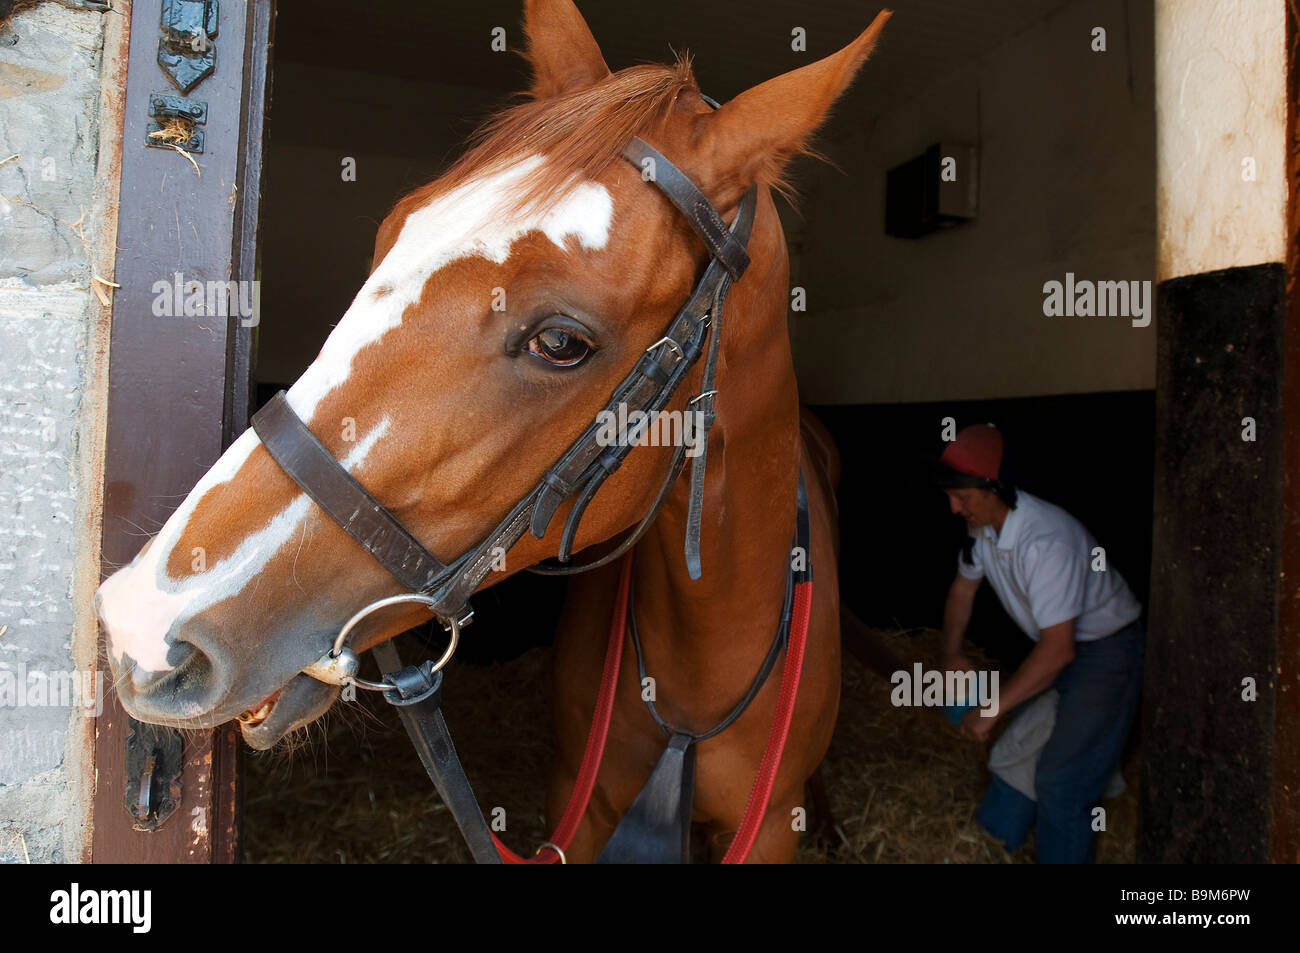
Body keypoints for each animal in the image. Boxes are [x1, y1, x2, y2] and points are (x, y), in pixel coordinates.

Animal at [94, 0, 892, 863]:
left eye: (561, 341)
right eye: (391, 233)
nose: (143, 624)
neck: (699, 661)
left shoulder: (769, 825)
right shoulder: (576, 802)